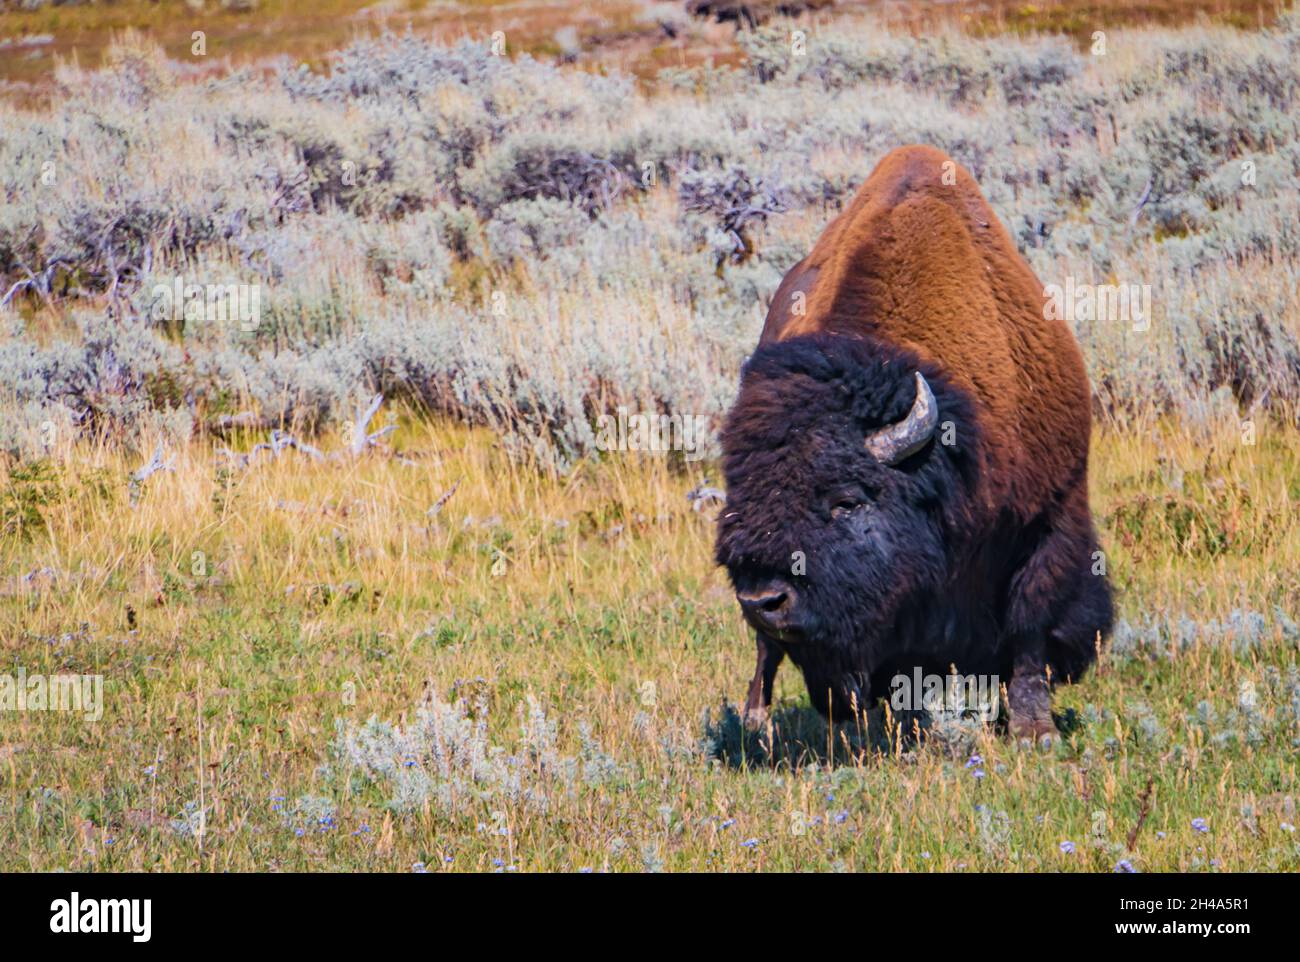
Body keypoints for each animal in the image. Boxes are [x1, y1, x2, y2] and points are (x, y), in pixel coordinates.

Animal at [717, 144, 1112, 743]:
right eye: (740, 496)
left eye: (847, 501)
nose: (763, 599)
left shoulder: (1048, 515)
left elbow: (1028, 621)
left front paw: (1033, 730)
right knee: (769, 654)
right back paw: (759, 721)